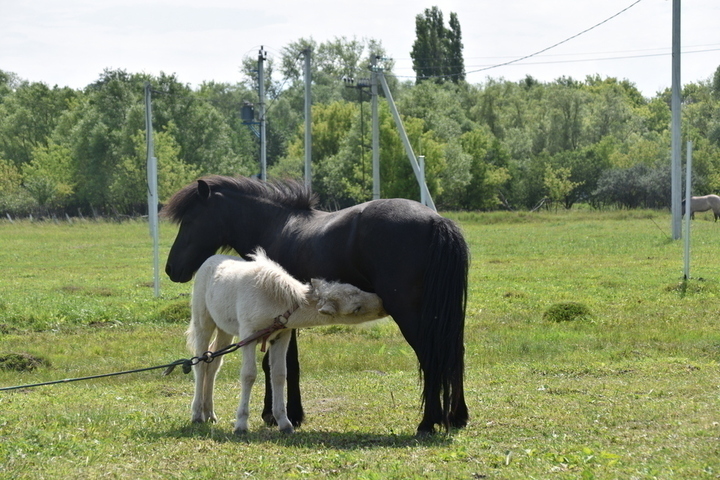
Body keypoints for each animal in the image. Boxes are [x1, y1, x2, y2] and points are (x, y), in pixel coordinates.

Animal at [188, 249, 386, 434]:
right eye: (357, 308)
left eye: (357, 289)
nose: (382, 302)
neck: (276, 301)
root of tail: (210, 259)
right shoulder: (248, 334)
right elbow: (248, 375)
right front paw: (241, 425)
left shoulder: (281, 336)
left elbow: (279, 374)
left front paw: (284, 423)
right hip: (203, 320)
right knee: (200, 362)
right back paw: (197, 414)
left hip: (224, 329)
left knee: (213, 361)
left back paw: (210, 413)